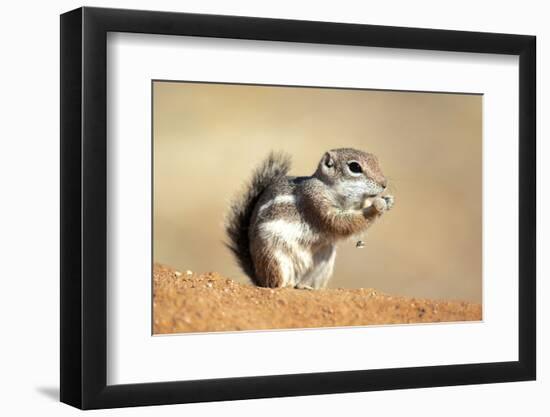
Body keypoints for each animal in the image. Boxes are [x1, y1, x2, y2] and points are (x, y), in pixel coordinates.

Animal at [226, 149, 394, 290]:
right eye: (355, 167)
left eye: (375, 159)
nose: (384, 184)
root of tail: (258, 277)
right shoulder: (315, 200)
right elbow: (340, 223)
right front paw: (376, 206)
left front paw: (388, 201)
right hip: (274, 256)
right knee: (276, 283)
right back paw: (288, 285)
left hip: (323, 264)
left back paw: (306, 287)